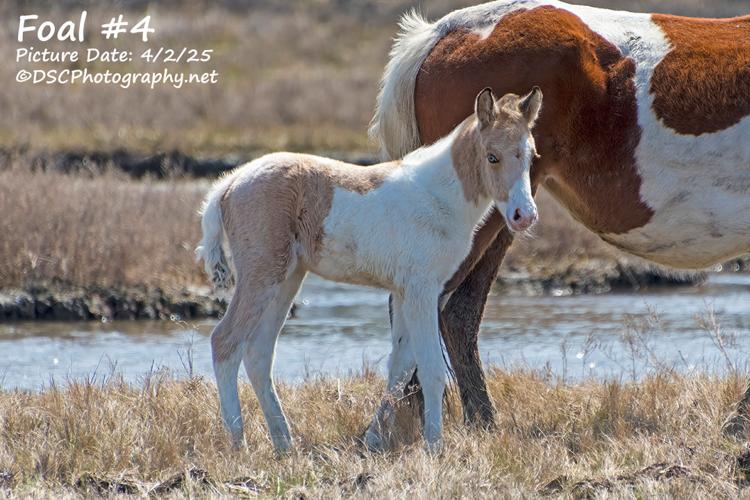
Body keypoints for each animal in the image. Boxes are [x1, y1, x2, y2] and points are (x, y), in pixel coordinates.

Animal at [196, 87, 544, 452]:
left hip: (287, 278)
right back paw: (238, 443)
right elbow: (431, 369)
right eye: (492, 156)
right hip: (261, 275)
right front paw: (434, 446)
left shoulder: (407, 292)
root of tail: (230, 183)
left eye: (531, 156)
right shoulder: (421, 289)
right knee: (225, 341)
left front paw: (373, 440)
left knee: (259, 353)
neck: (439, 196)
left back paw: (284, 443)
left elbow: (402, 366)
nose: (524, 215)